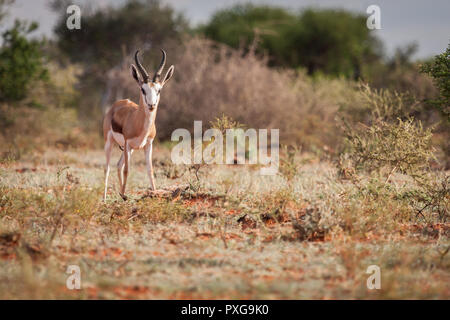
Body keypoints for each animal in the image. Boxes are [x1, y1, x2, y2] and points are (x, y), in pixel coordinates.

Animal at [103, 49, 175, 200]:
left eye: (159, 90)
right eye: (143, 89)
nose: (151, 105)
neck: (139, 124)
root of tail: (117, 104)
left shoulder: (148, 144)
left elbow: (150, 170)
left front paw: (154, 193)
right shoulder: (127, 143)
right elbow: (127, 170)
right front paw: (124, 196)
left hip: (129, 149)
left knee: (118, 165)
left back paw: (120, 193)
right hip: (110, 143)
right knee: (107, 168)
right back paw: (105, 199)